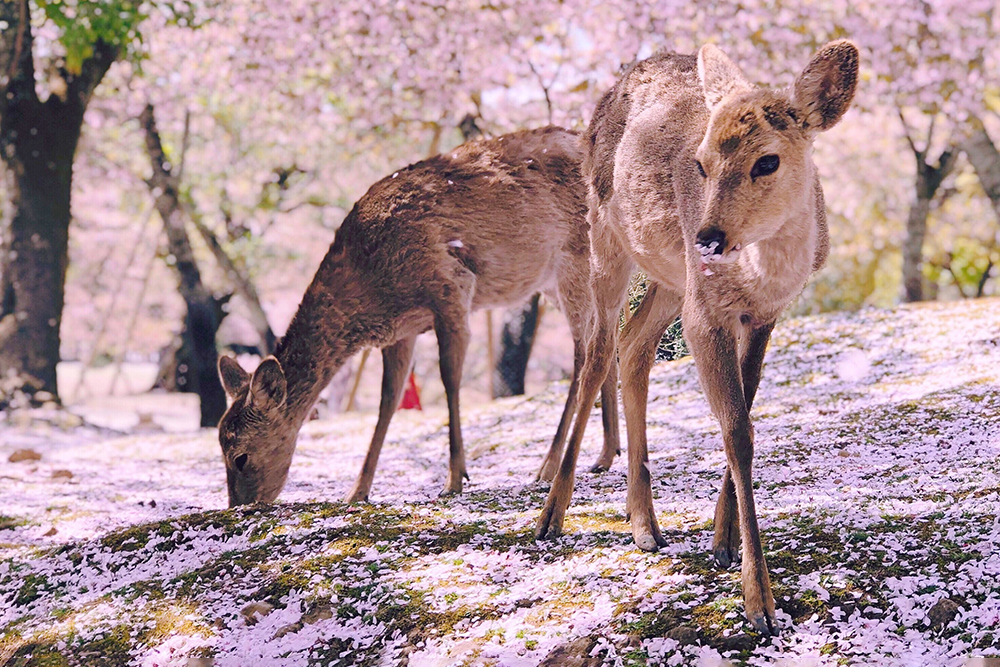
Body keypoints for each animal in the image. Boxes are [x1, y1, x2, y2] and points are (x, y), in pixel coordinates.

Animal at [216, 126, 620, 506]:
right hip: (556, 281)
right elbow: (388, 400)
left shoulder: (451, 285)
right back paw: (606, 453)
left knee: (584, 352)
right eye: (220, 447)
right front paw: (357, 491)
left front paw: (455, 478)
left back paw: (548, 465)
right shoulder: (401, 332)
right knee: (606, 340)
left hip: (575, 261)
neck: (372, 287)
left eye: (240, 457)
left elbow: (449, 379)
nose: (240, 506)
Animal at [540, 39, 860, 636]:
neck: (762, 277)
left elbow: (746, 414)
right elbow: (737, 430)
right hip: (606, 238)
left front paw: (723, 539)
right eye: (701, 162)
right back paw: (551, 515)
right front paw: (760, 603)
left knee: (634, 346)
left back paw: (644, 524)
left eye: (767, 160)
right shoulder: (706, 314)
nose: (709, 236)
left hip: (670, 277)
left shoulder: (762, 315)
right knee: (598, 351)